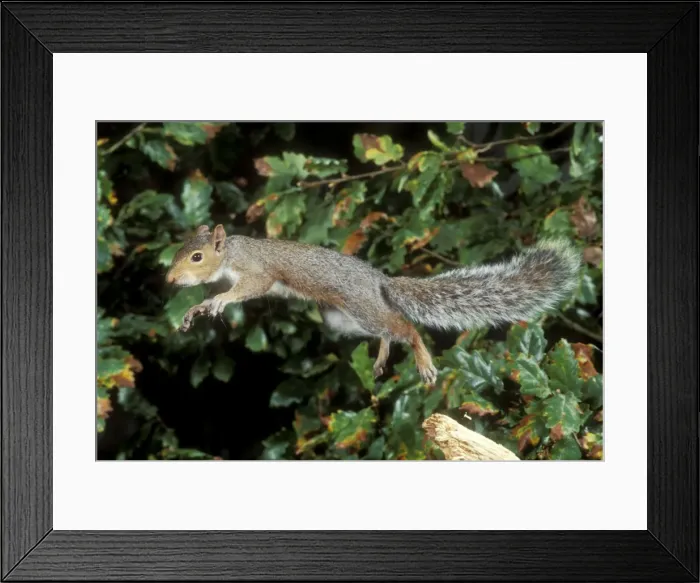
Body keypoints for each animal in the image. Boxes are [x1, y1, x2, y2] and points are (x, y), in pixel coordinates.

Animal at [166, 224, 581, 386]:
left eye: (197, 257)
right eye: (180, 249)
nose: (169, 279)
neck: (231, 254)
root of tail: (379, 282)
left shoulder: (256, 271)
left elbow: (250, 286)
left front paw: (219, 301)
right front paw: (196, 309)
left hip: (360, 305)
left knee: (406, 327)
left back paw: (423, 362)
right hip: (343, 320)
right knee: (386, 329)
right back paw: (382, 355)